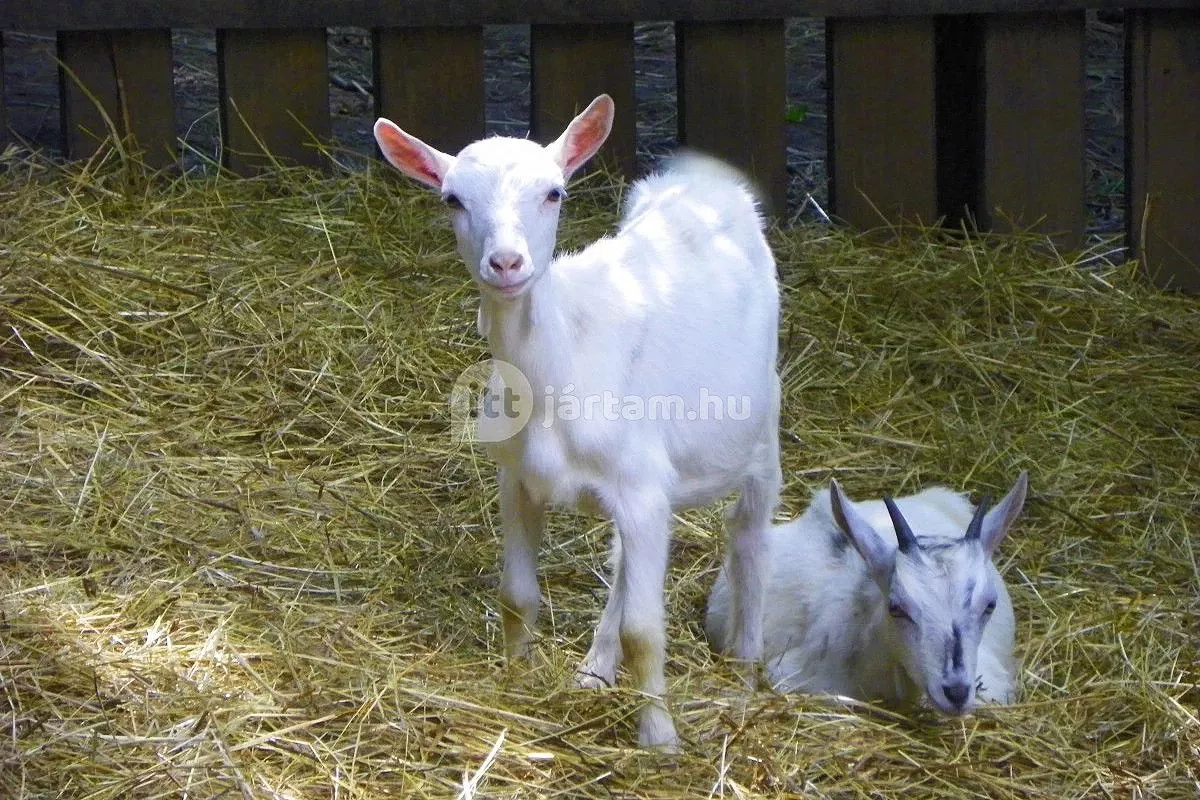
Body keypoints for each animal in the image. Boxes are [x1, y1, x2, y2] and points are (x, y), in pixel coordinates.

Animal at [376, 95, 787, 753]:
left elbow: (647, 630)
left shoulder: (642, 486)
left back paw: (744, 674)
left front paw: (659, 737)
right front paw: (517, 682)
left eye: (554, 193)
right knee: (622, 566)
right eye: (452, 199)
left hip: (761, 427)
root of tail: (705, 183)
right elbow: (517, 596)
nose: (507, 262)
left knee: (750, 539)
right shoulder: (518, 480)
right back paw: (595, 668)